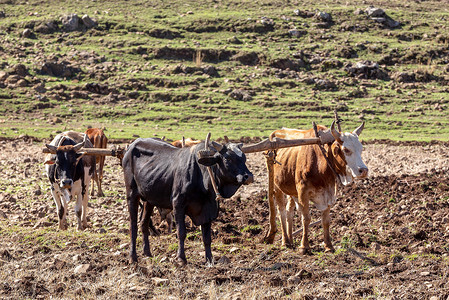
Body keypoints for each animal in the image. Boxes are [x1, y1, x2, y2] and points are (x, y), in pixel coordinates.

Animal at [264, 121, 366, 253]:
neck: (320, 162)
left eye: (361, 149)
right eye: (346, 150)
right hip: (277, 185)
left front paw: (328, 246)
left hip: (291, 189)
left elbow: (325, 221)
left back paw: (291, 240)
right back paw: (285, 241)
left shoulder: (328, 193)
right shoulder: (303, 192)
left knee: (289, 210)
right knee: (281, 211)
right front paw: (304, 246)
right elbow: (306, 218)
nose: (364, 170)